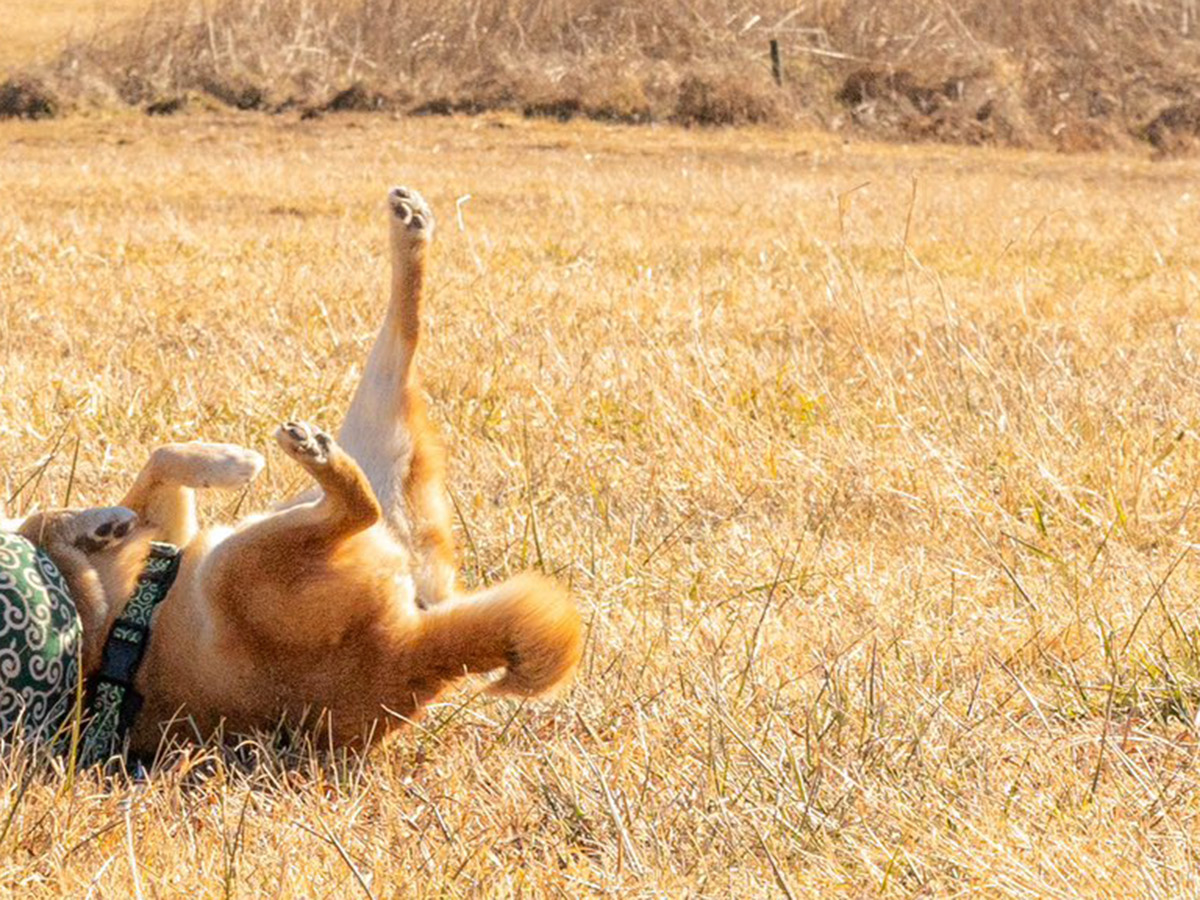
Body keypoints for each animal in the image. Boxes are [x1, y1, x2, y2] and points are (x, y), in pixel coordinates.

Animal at [0, 187, 580, 758]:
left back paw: (410, 227)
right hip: (246, 559)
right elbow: (51, 519)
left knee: (403, 341)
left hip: (345, 467)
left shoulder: (165, 523)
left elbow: (156, 460)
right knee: (359, 502)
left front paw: (223, 464)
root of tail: (406, 654)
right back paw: (319, 453)